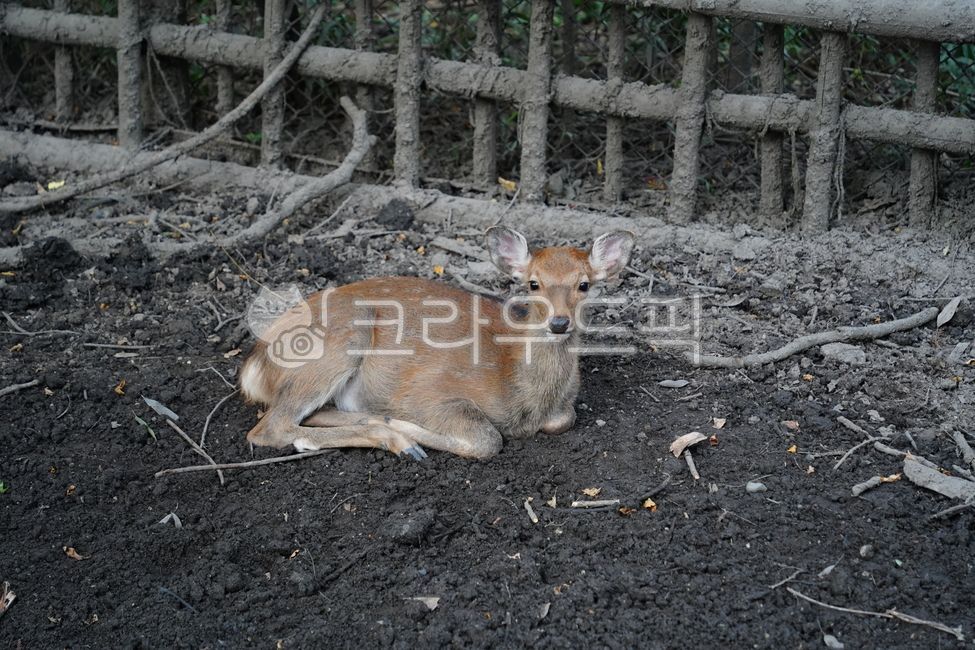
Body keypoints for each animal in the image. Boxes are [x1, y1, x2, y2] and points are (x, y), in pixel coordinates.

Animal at [239, 226, 634, 460]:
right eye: (533, 283)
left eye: (584, 284)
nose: (559, 322)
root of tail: (253, 366)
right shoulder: (429, 390)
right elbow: (488, 440)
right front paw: (405, 428)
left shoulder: (562, 411)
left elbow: (563, 419)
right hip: (340, 341)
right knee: (269, 427)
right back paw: (398, 439)